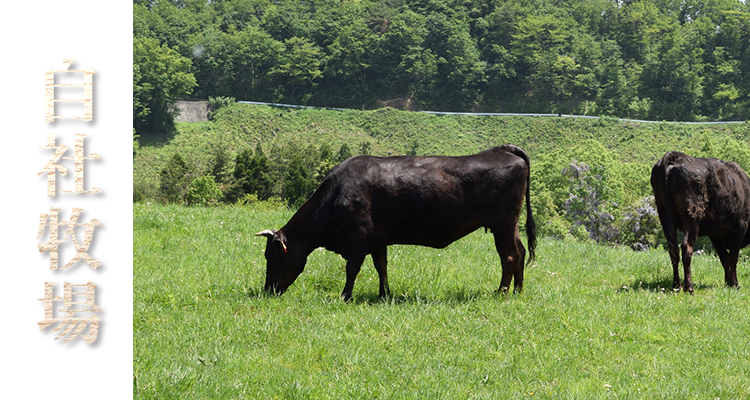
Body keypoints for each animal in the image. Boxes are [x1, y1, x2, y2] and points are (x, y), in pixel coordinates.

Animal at [256, 144, 536, 300]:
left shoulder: (359, 236)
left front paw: (345, 296)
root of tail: (502, 149)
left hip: (502, 224)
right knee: (521, 252)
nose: (268, 290)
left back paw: (501, 293)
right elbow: (382, 266)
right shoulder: (377, 240)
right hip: (511, 226)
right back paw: (518, 292)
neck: (336, 194)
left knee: (509, 256)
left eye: (273, 256)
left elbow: (352, 268)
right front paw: (385, 294)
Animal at [652, 152, 750, 292]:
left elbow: (724, 257)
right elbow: (733, 256)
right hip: (692, 217)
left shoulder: (714, 233)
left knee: (673, 250)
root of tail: (674, 156)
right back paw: (689, 287)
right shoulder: (741, 225)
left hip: (664, 217)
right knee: (686, 247)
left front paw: (728, 282)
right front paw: (734, 284)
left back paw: (677, 285)